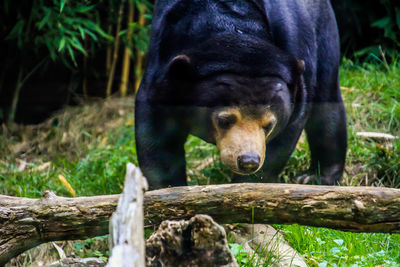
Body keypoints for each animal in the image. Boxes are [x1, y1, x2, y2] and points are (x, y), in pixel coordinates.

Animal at [134, 0, 346, 191]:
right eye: (224, 120)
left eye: (269, 125)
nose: (248, 161)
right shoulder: (163, 58)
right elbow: (157, 132)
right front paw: (168, 189)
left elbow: (286, 133)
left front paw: (246, 187)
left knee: (327, 104)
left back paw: (315, 177)